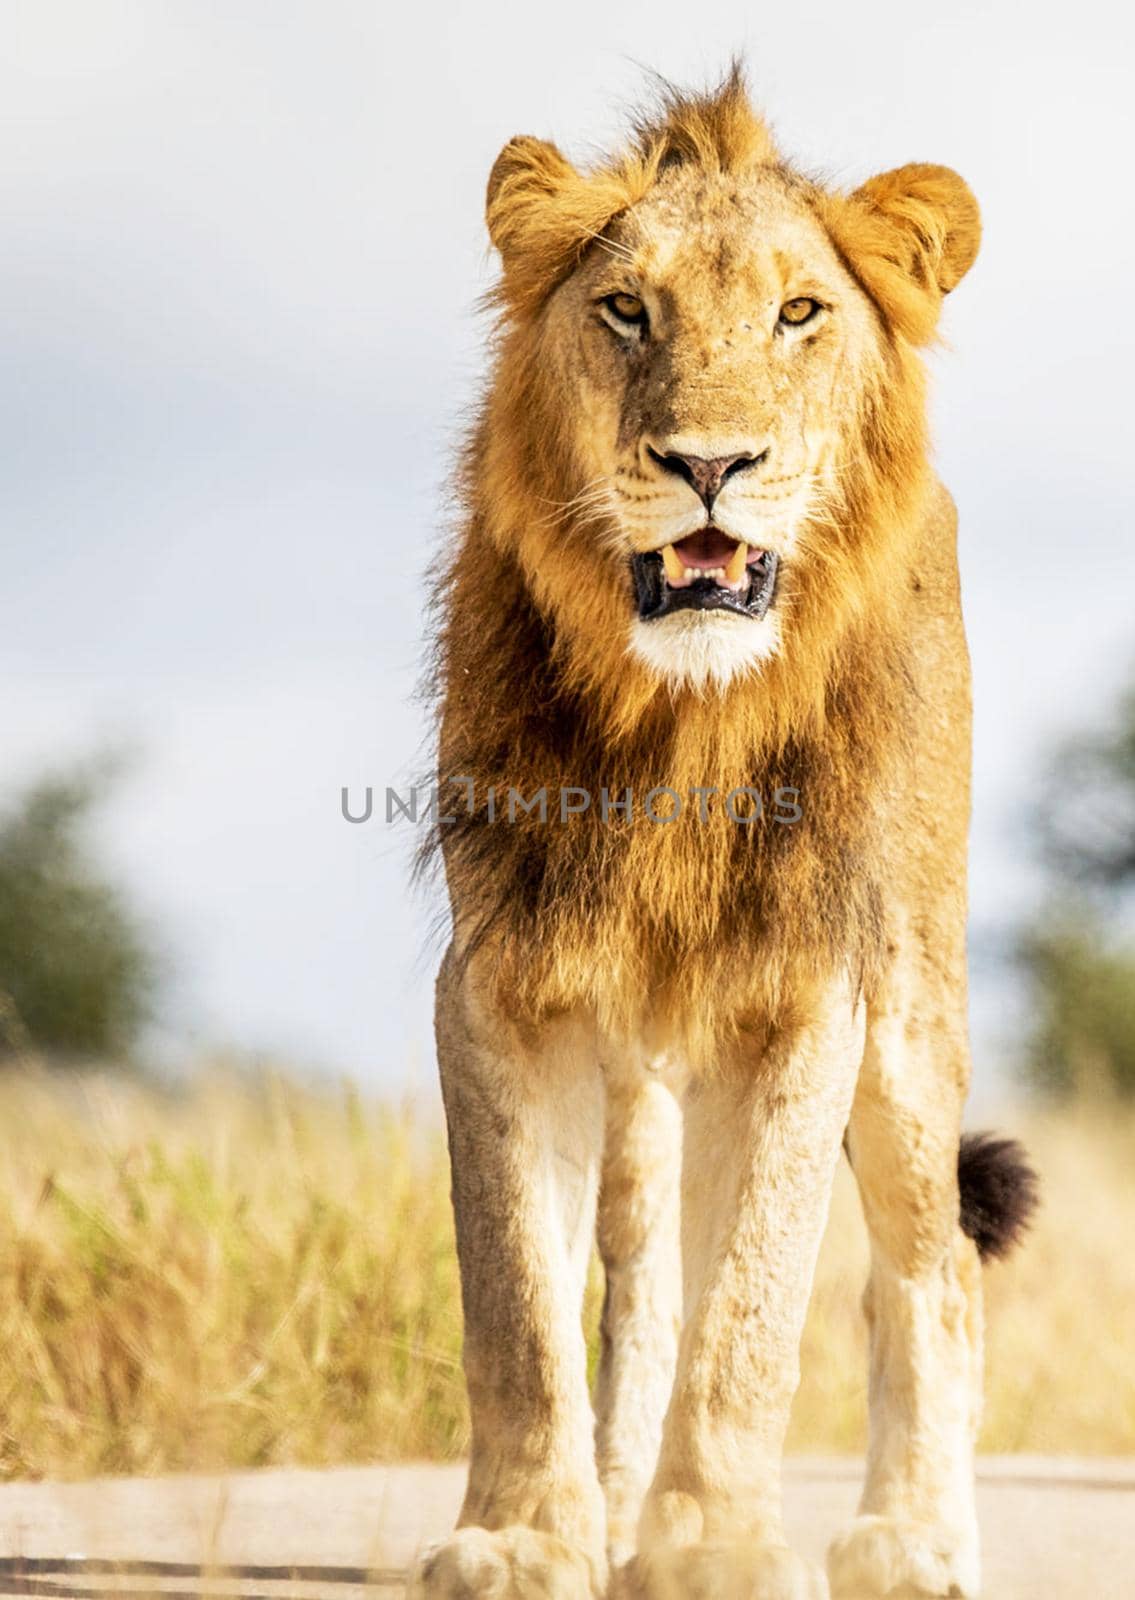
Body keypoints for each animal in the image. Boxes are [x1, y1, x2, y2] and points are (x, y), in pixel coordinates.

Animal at [413, 65, 1037, 1600]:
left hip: (909, 1012)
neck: (676, 724)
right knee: (638, 1278)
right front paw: (527, 1536)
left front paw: (711, 1548)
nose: (710, 463)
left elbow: (751, 1302)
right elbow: (518, 1299)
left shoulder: (804, 991)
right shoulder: (502, 979)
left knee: (928, 1269)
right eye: (625, 309)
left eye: (797, 313)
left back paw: (913, 1536)